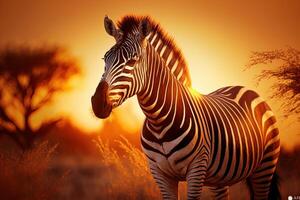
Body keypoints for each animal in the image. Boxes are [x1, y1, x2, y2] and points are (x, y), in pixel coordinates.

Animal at [90, 15, 280, 200]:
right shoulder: (159, 173)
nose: (98, 103)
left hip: (265, 167)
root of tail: (243, 88)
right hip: (220, 176)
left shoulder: (196, 169)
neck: (159, 122)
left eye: (132, 61)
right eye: (105, 58)